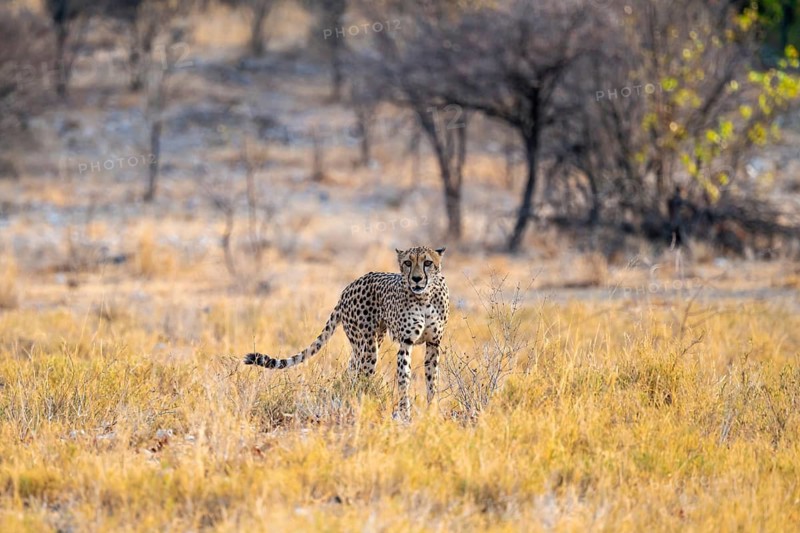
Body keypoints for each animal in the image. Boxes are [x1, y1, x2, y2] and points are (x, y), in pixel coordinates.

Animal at [243, 246, 449, 419]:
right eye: (407, 262)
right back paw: (356, 403)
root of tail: (348, 287)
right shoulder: (406, 343)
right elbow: (404, 379)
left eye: (427, 262)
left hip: (372, 341)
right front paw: (405, 415)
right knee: (360, 373)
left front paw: (433, 412)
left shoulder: (433, 343)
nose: (416, 279)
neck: (425, 297)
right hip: (367, 347)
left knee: (351, 368)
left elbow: (432, 379)